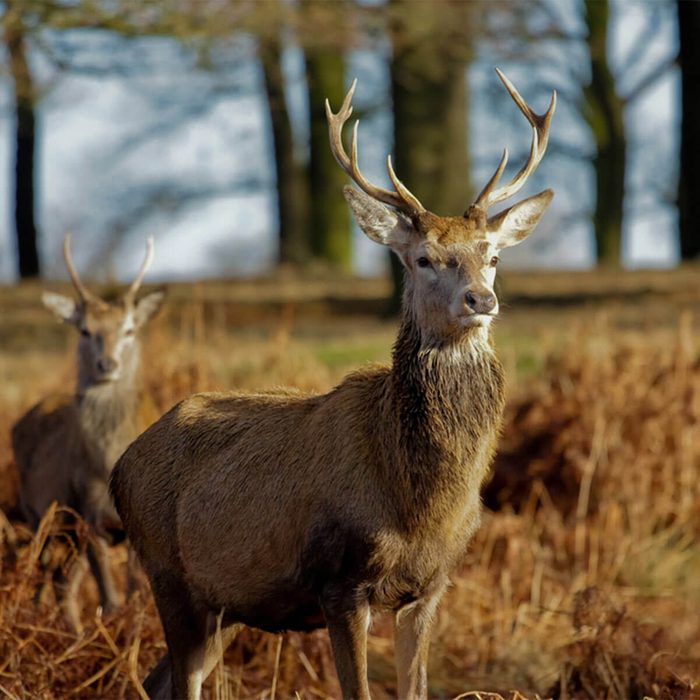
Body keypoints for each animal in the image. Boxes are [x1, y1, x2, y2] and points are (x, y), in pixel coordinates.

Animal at [12, 235, 164, 631]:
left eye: (129, 329)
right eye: (84, 330)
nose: (107, 364)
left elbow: (135, 594)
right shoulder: (89, 515)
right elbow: (111, 601)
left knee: (63, 579)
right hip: (42, 515)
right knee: (48, 574)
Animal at [110, 68, 555, 700]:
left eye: (492, 256)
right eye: (423, 258)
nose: (481, 299)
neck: (419, 503)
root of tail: (119, 467)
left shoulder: (431, 586)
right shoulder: (339, 581)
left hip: (225, 601)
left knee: (159, 679)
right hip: (168, 572)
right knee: (182, 679)